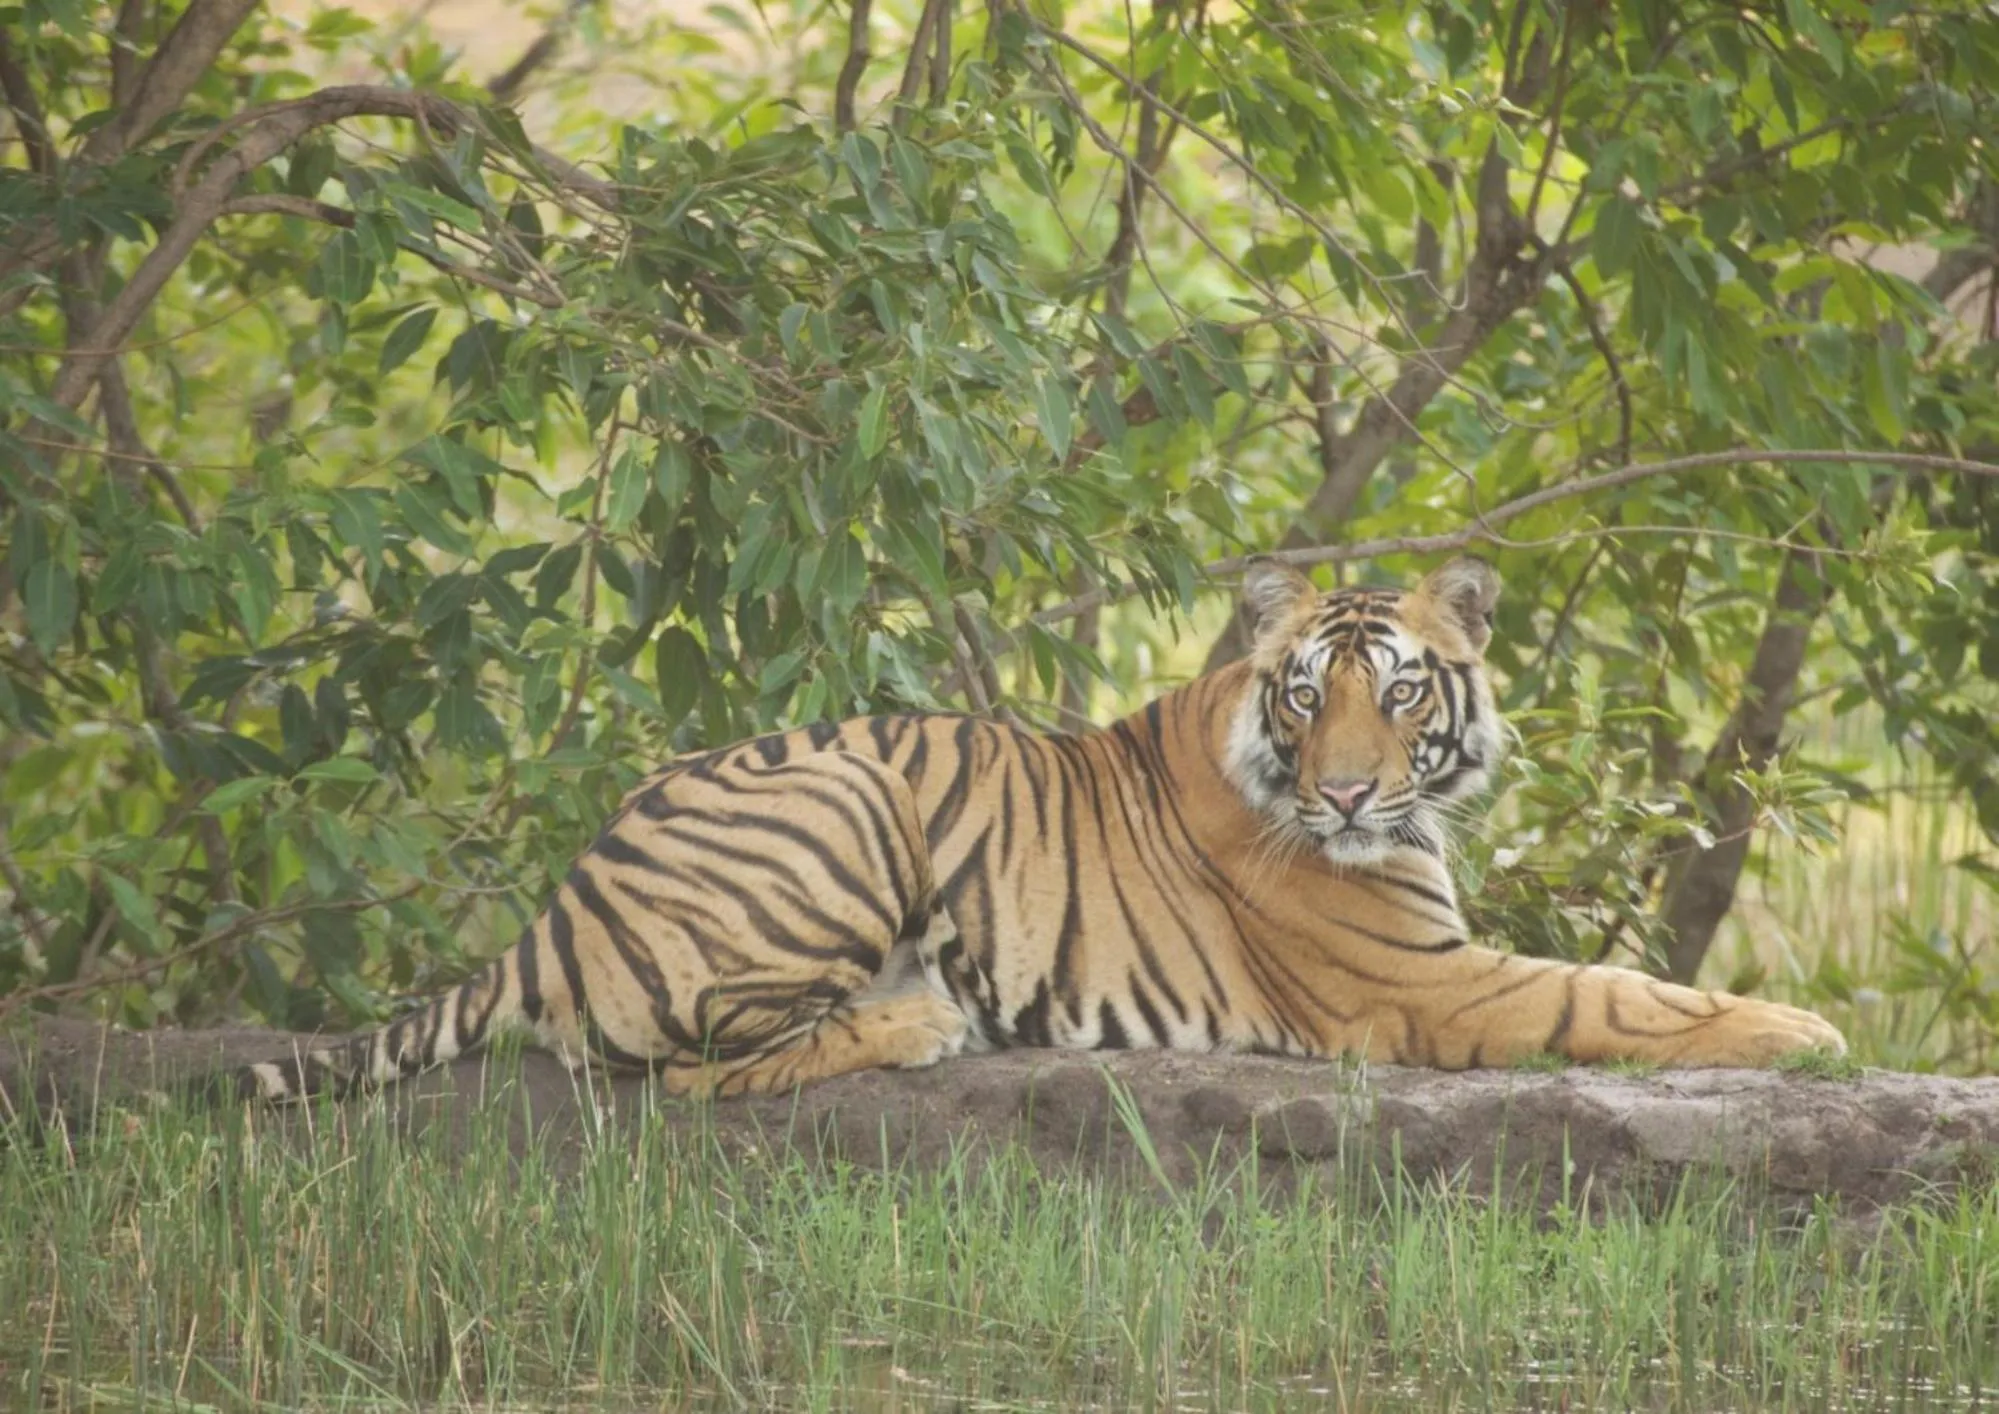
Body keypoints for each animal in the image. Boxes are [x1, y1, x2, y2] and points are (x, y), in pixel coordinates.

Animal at [239, 556, 1846, 1103]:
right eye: (1308, 692)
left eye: (1399, 691)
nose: (1341, 795)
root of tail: (554, 904)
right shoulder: (1427, 985)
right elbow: (1623, 995)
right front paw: (1808, 1031)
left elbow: (1628, 985)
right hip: (846, 799)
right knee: (673, 1072)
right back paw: (917, 1023)